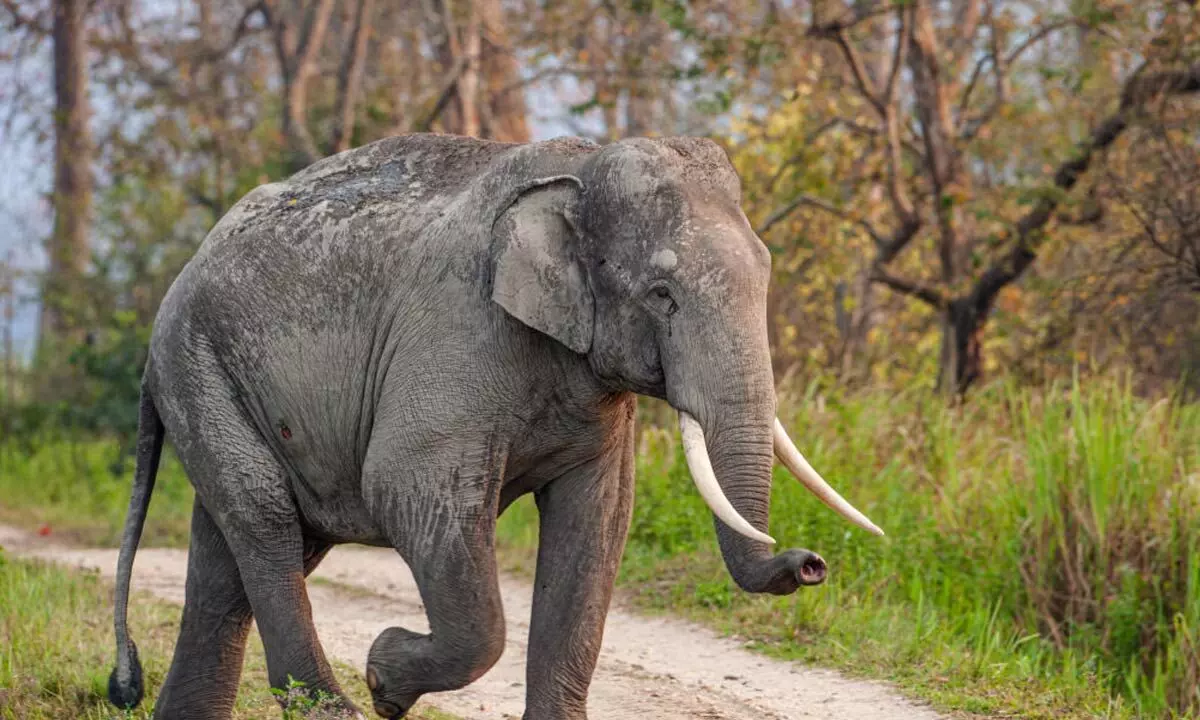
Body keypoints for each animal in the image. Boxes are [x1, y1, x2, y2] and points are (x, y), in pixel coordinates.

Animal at [110, 132, 883, 715]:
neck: (580, 172)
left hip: (212, 379)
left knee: (233, 562)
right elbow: (405, 488)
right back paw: (338, 706)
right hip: (196, 365)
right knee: (267, 521)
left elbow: (598, 524)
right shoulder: (458, 336)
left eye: (766, 272)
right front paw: (385, 677)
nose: (809, 562)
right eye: (662, 295)